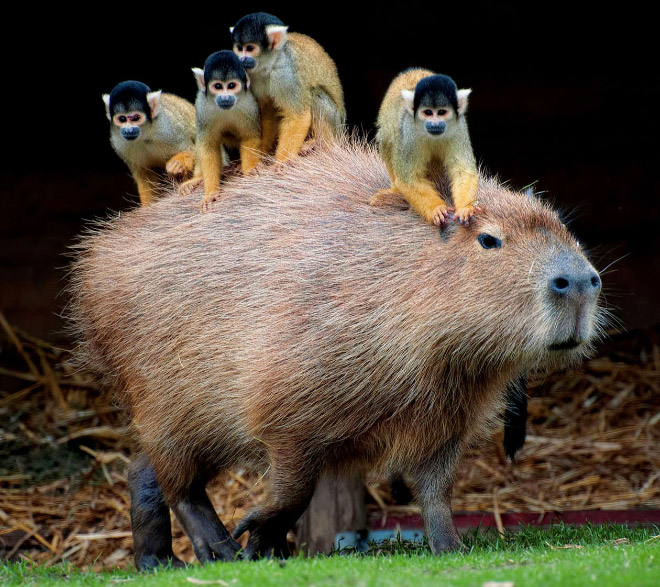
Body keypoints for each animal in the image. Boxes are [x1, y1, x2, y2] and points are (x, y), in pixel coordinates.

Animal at [188, 51, 260, 207]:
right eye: (218, 86)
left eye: (231, 85)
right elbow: (208, 146)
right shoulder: (202, 107)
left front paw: (249, 169)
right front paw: (211, 192)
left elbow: (249, 137)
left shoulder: (249, 104)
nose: (225, 97)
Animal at [229, 12, 346, 163]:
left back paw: (322, 144)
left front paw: (281, 163)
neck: (270, 65)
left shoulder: (285, 73)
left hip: (336, 125)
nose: (241, 59)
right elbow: (268, 114)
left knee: (314, 95)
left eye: (250, 48)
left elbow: (298, 116)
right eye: (239, 48)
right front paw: (261, 152)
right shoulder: (251, 76)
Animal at [374, 69, 476, 225]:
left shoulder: (459, 128)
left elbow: (463, 171)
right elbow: (409, 178)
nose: (434, 124)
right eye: (427, 112)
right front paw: (436, 209)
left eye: (441, 112)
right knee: (388, 139)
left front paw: (466, 208)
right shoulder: (409, 132)